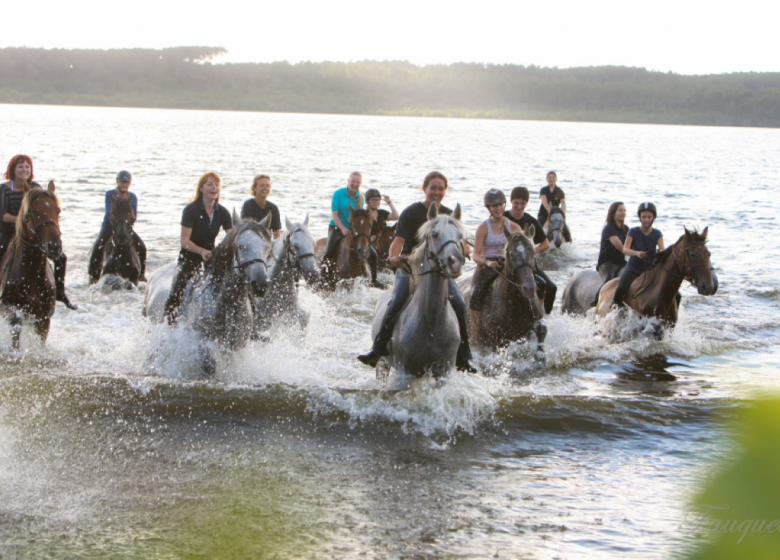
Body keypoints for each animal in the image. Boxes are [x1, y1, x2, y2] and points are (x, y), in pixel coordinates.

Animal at [143, 212, 274, 352]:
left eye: (267, 248)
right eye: (241, 246)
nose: (261, 285)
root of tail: (154, 275)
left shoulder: (237, 347)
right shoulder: (204, 347)